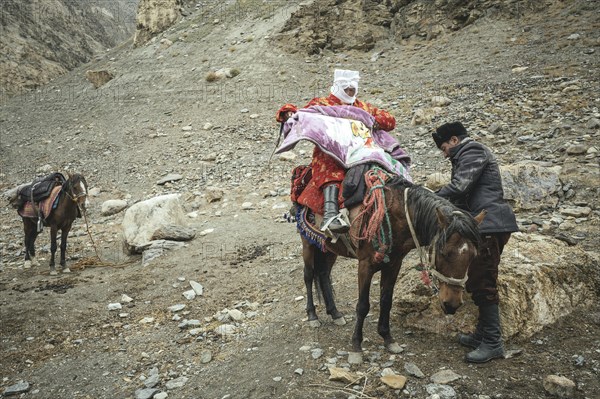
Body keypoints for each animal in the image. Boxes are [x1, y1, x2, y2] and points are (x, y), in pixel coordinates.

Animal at [298, 177, 486, 364]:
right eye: (443, 252)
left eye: (474, 256)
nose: (452, 305)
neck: (394, 216)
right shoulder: (365, 266)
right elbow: (362, 306)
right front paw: (356, 347)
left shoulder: (394, 265)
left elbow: (386, 301)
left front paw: (388, 338)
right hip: (308, 244)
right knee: (308, 276)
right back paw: (312, 316)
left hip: (329, 248)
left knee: (323, 274)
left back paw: (335, 313)